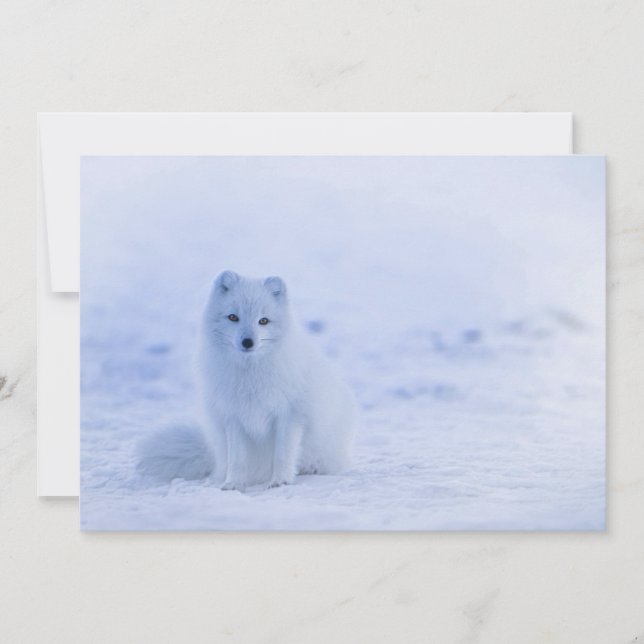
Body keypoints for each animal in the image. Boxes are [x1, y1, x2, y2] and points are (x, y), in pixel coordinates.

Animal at [137, 270, 356, 491]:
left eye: (263, 321)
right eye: (233, 317)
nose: (248, 342)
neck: (250, 375)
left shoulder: (290, 415)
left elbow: (282, 455)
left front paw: (280, 481)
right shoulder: (234, 417)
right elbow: (237, 459)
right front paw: (233, 484)